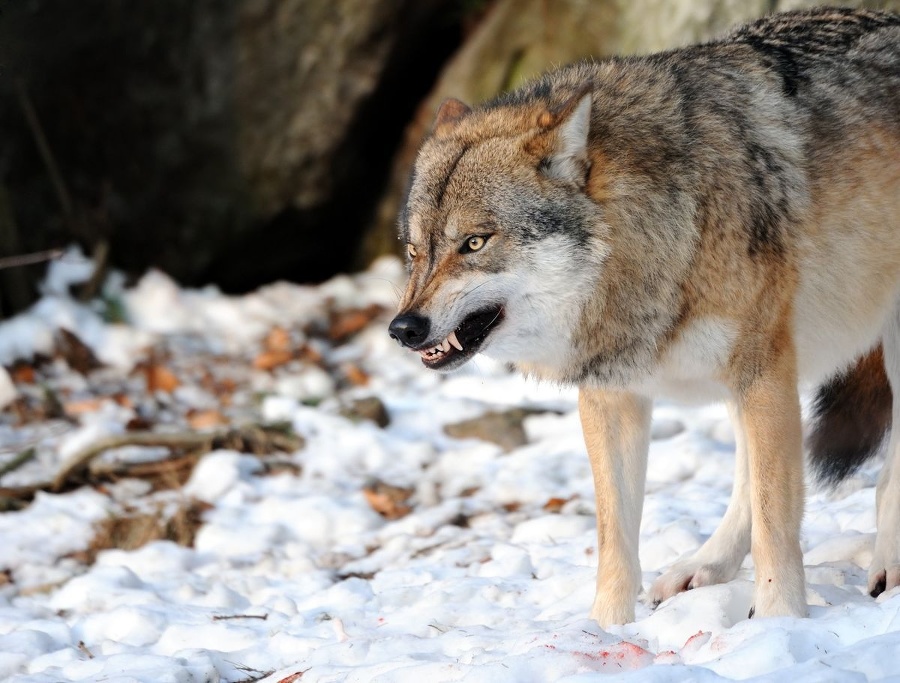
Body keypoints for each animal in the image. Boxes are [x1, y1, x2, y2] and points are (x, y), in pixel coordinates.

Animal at [386, 9, 900, 632]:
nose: (403, 329)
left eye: (475, 243)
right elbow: (616, 539)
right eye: (415, 251)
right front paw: (604, 629)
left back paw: (888, 564)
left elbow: (777, 523)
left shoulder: (763, 371)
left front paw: (780, 625)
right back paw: (706, 565)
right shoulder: (615, 395)